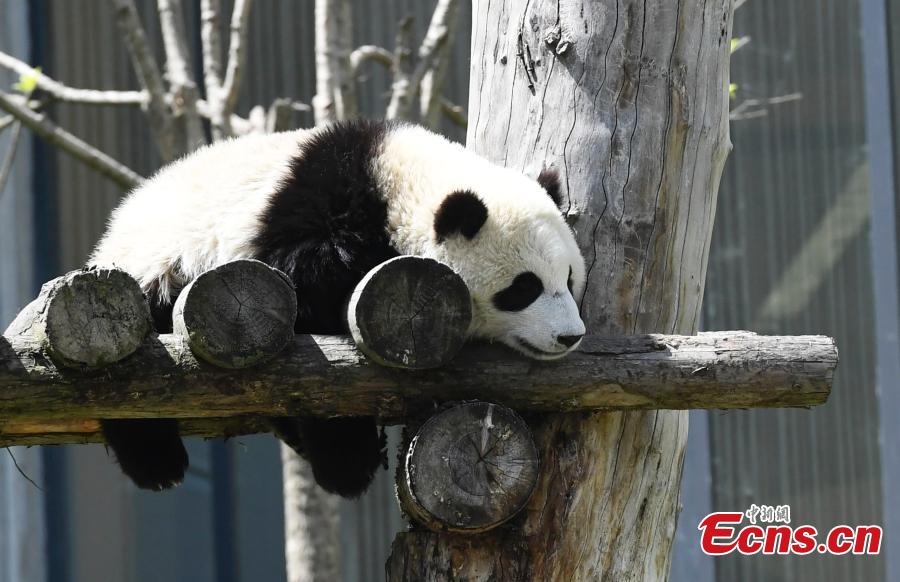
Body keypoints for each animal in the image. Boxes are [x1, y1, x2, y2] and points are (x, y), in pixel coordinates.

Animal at [88, 121, 588, 500]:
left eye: (568, 280)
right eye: (524, 288)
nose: (570, 336)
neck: (397, 191)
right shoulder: (316, 227)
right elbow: (321, 359)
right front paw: (348, 464)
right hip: (156, 276)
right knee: (134, 383)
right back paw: (157, 463)